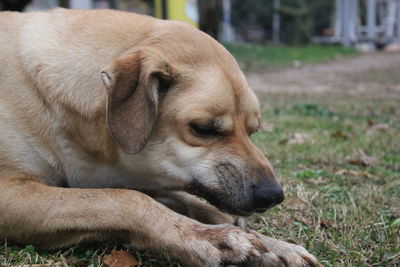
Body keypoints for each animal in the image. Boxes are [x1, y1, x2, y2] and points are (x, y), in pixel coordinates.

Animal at [0, 8, 318, 267]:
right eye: (203, 128)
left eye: (253, 130)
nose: (273, 195)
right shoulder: (11, 191)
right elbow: (127, 201)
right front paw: (207, 237)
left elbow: (190, 202)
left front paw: (272, 245)